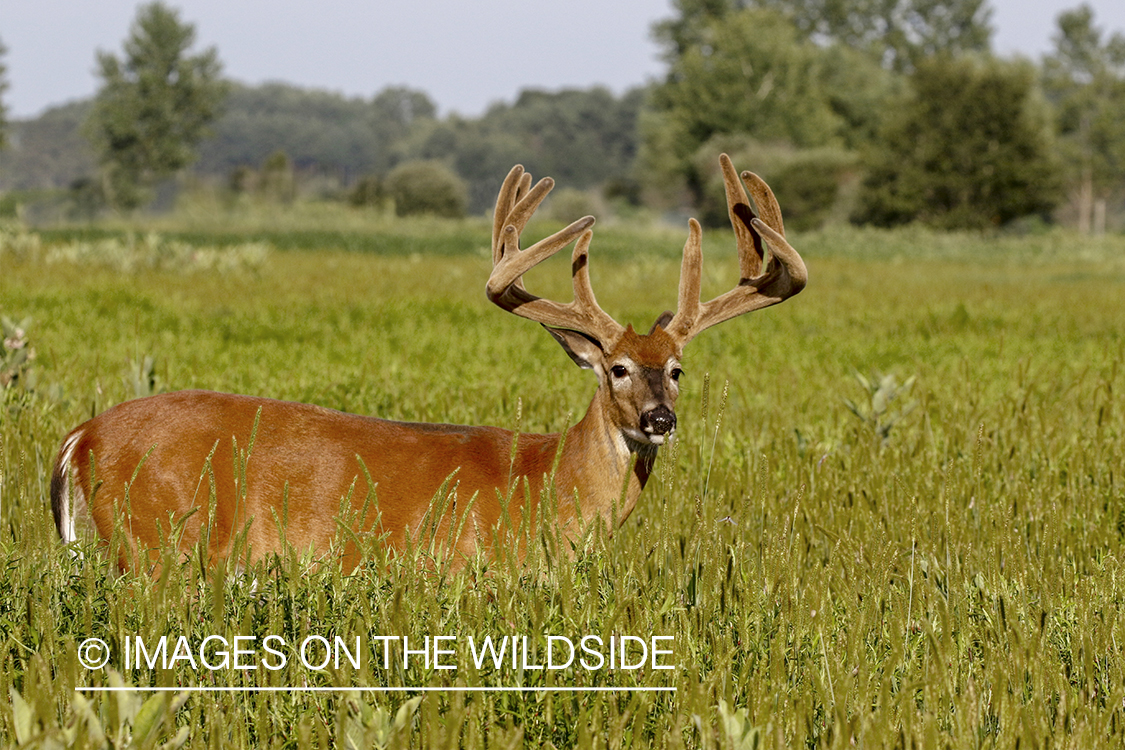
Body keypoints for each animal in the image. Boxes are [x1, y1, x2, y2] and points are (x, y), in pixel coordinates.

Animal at [50, 154, 810, 575]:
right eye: (616, 368)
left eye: (677, 368)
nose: (659, 420)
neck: (549, 486)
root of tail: (82, 436)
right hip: (158, 544)